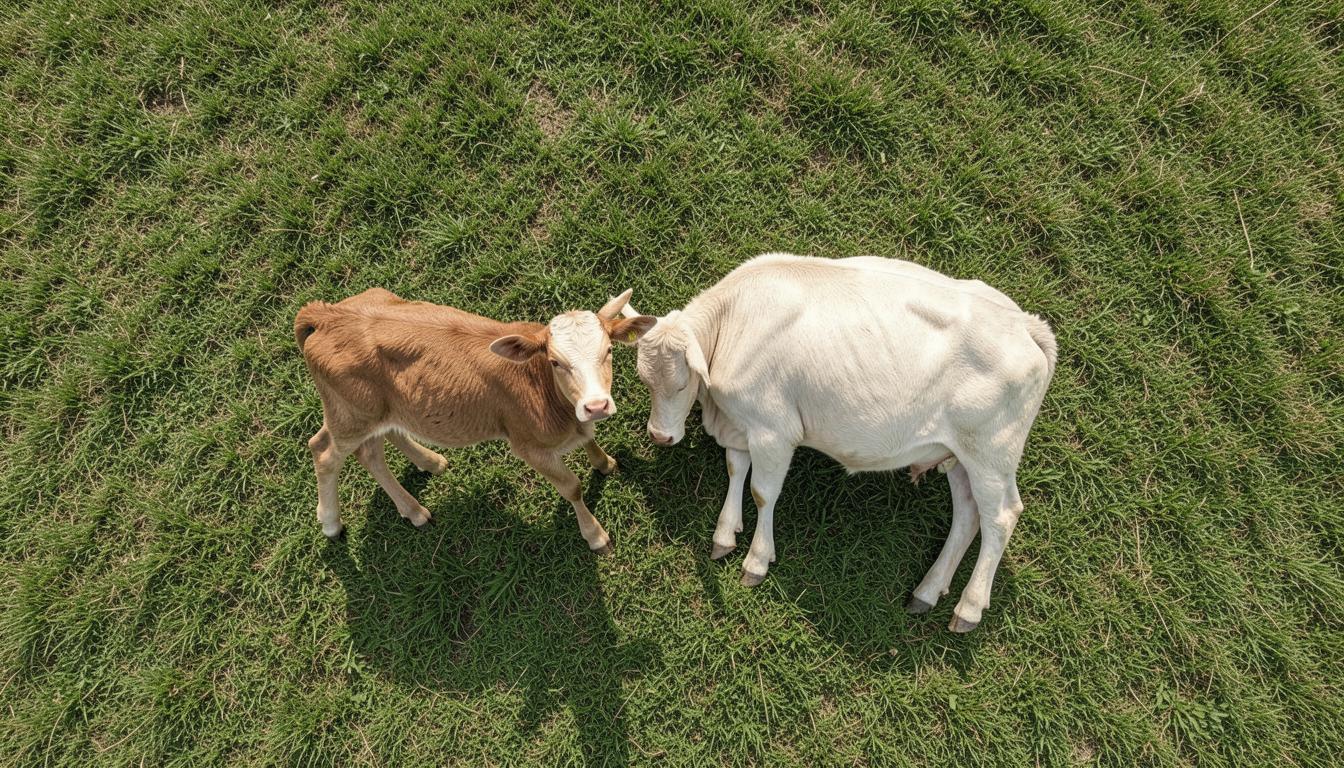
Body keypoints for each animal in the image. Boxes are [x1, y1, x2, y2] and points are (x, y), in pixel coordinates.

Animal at [294, 287, 656, 551]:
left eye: (609, 350)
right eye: (556, 362)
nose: (596, 405)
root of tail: (324, 313)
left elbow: (590, 441)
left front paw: (604, 463)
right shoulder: (528, 446)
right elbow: (572, 488)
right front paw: (594, 535)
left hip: (380, 408)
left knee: (376, 445)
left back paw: (426, 471)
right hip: (352, 415)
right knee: (325, 450)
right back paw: (334, 521)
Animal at [625, 254, 1056, 631]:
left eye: (682, 383)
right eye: (644, 379)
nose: (660, 435)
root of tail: (1024, 323)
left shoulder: (773, 429)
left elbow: (763, 492)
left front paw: (756, 560)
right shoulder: (741, 422)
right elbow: (735, 469)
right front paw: (725, 534)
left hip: (991, 453)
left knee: (1000, 518)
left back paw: (969, 608)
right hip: (960, 454)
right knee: (968, 515)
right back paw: (927, 592)